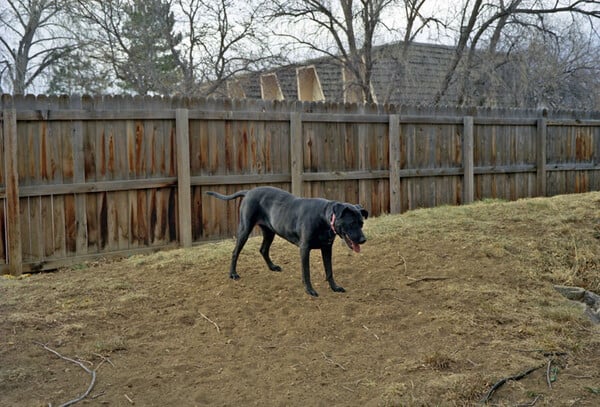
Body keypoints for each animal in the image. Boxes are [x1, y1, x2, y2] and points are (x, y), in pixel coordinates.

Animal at [204, 187, 368, 296]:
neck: (324, 217)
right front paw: (309, 290)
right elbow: (306, 272)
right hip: (245, 229)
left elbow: (329, 271)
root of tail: (249, 191)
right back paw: (233, 274)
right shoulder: (304, 249)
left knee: (263, 249)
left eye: (361, 223)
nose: (363, 240)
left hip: (269, 231)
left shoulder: (327, 248)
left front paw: (335, 287)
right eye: (351, 223)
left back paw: (272, 267)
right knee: (235, 252)